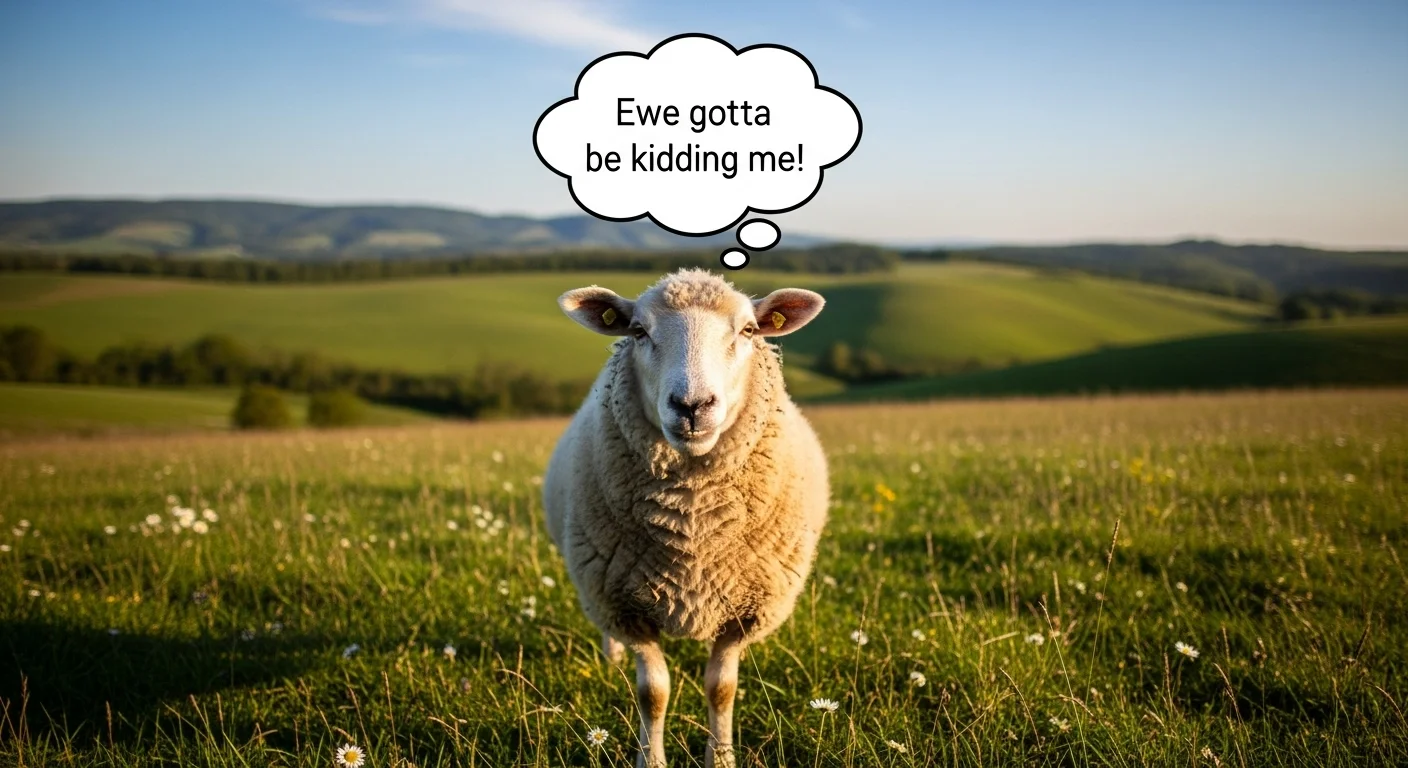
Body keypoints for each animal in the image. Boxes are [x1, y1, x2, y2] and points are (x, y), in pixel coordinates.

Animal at [542, 269, 830, 768]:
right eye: (638, 331)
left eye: (748, 330)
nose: (692, 406)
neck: (692, 525)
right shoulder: (624, 607)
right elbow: (652, 694)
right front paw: (652, 759)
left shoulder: (745, 610)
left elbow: (722, 689)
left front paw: (722, 757)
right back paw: (612, 659)